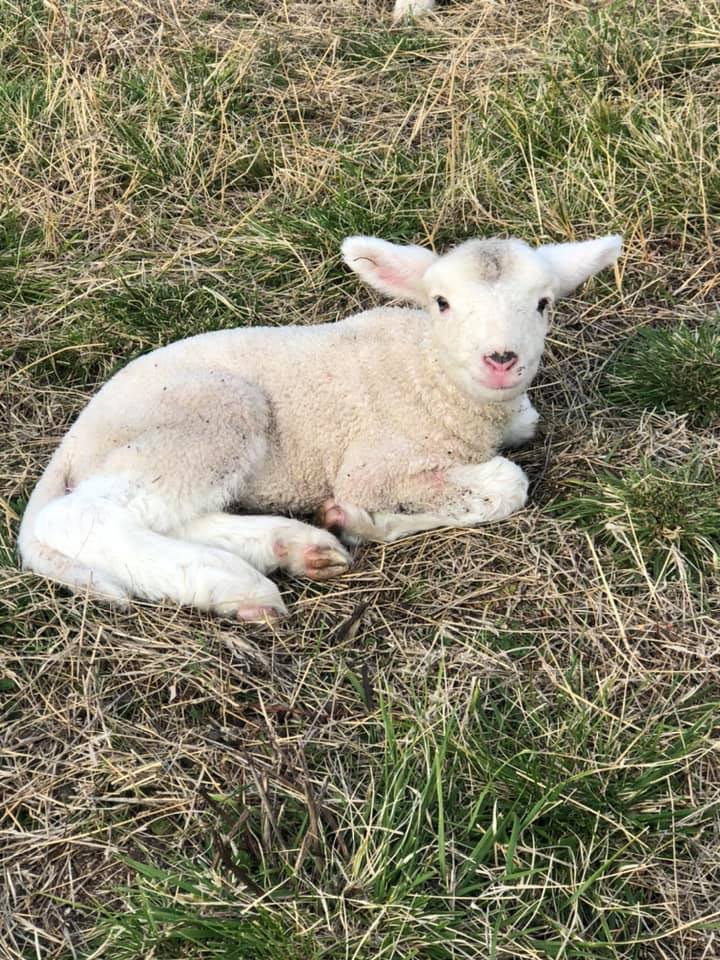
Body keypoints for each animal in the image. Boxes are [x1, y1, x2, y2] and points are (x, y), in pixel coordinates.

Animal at [18, 232, 622, 620]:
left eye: (543, 304)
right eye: (442, 302)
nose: (501, 360)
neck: (427, 372)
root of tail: (76, 439)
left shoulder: (514, 417)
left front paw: (349, 523)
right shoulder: (377, 462)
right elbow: (506, 485)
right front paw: (363, 518)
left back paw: (292, 548)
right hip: (212, 413)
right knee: (80, 518)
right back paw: (236, 580)